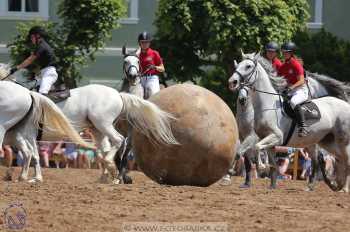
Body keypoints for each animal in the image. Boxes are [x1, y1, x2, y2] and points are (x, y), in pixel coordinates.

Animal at [0, 65, 179, 183]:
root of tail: (118, 94)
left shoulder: (25, 134)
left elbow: (31, 153)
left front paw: (32, 178)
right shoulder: (23, 136)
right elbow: (31, 153)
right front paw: (27, 177)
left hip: (103, 124)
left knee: (118, 141)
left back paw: (112, 170)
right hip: (97, 129)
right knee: (105, 149)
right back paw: (107, 175)